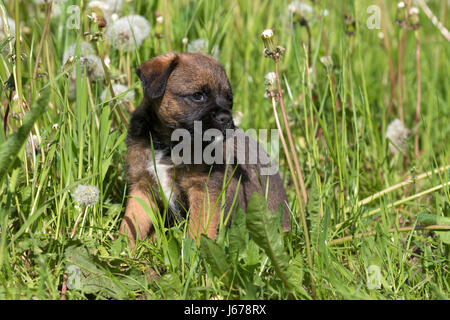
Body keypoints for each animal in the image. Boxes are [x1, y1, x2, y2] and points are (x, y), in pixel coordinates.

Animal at [118, 52, 288, 248]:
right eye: (198, 95)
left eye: (229, 99)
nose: (226, 119)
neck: (169, 144)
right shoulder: (142, 185)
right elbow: (132, 222)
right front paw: (124, 248)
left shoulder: (203, 189)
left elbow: (199, 227)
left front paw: (196, 249)